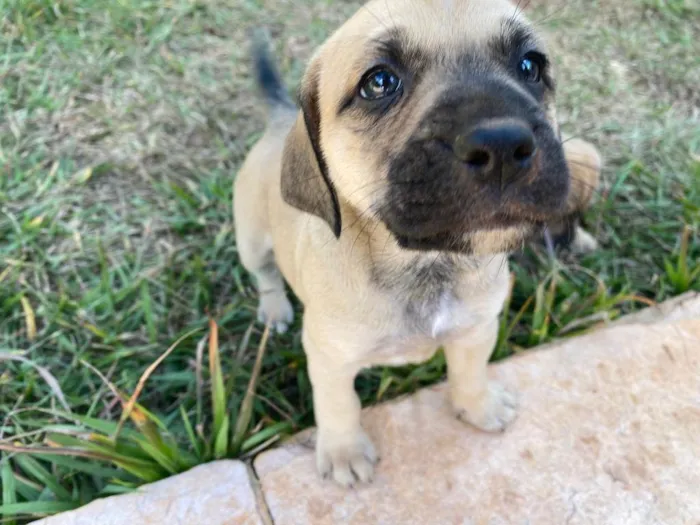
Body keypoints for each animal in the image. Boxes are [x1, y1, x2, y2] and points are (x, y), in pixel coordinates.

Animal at [235, 0, 600, 488]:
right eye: (379, 82)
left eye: (530, 66)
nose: (503, 146)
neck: (427, 263)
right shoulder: (329, 358)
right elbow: (338, 405)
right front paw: (344, 451)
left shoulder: (477, 328)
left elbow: (469, 371)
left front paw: (478, 406)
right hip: (252, 240)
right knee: (265, 274)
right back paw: (274, 308)